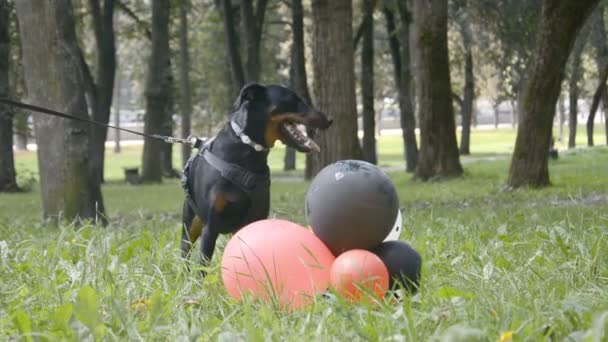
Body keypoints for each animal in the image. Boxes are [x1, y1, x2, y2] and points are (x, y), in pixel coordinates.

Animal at [180, 83, 332, 272]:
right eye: (293, 99)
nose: (330, 119)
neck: (247, 150)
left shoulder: (257, 219)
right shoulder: (210, 226)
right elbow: (203, 267)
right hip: (190, 223)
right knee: (185, 253)